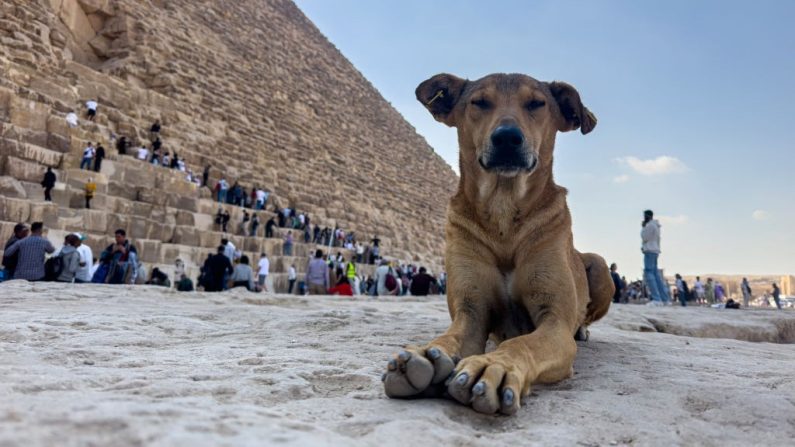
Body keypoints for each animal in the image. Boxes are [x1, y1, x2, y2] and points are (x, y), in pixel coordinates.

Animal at [386, 72, 616, 416]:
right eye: (479, 102)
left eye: (536, 103)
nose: (507, 138)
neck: (504, 215)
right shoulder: (471, 313)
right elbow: (451, 336)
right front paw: (427, 353)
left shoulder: (555, 322)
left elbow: (521, 342)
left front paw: (494, 366)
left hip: (600, 267)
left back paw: (583, 329)